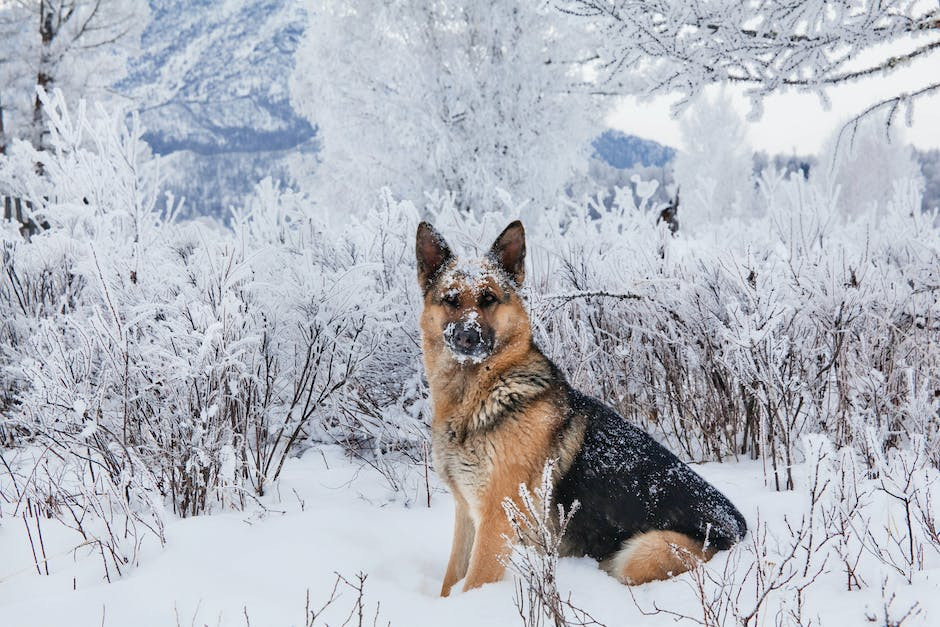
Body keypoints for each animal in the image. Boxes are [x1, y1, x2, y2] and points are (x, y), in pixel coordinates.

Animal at [418, 222, 748, 600]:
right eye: (451, 299)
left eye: (488, 298)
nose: (467, 337)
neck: (482, 394)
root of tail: (740, 530)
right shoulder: (466, 514)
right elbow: (450, 580)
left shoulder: (496, 520)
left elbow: (473, 583)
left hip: (640, 553)